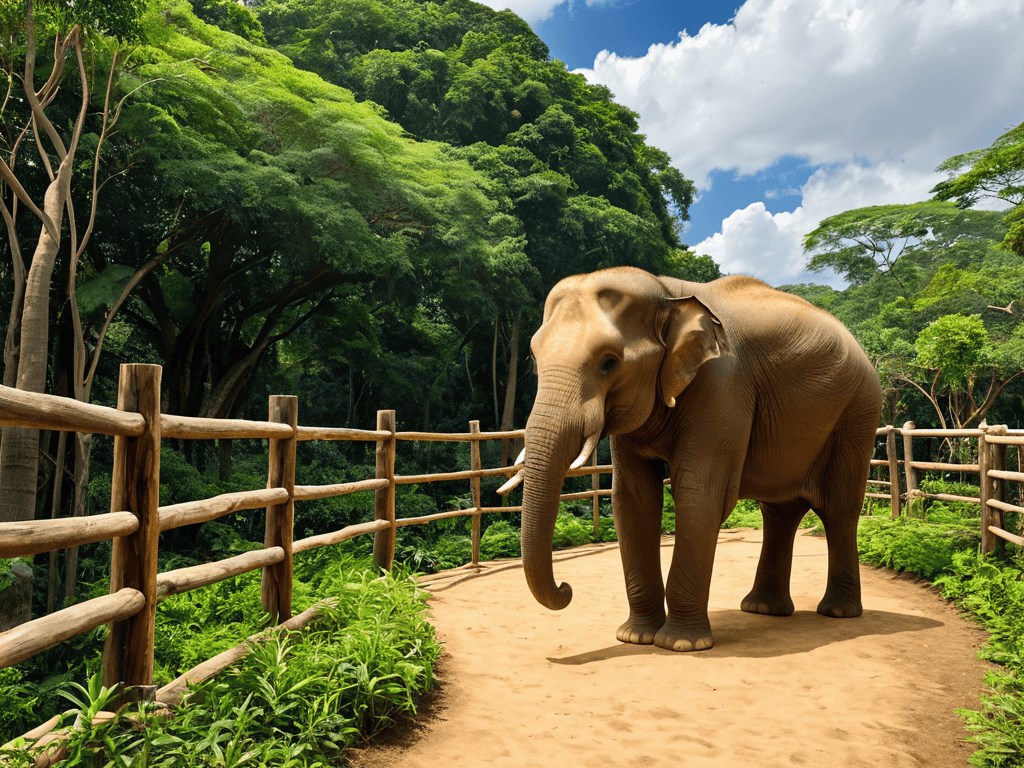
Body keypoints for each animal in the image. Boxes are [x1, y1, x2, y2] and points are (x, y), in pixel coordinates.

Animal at [511, 266, 882, 652]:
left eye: (608, 363)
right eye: (534, 359)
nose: (566, 588)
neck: (667, 293)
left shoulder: (723, 384)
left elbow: (697, 492)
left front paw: (680, 644)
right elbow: (633, 498)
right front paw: (635, 637)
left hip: (858, 414)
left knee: (838, 510)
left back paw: (837, 612)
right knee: (781, 512)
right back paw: (763, 609)